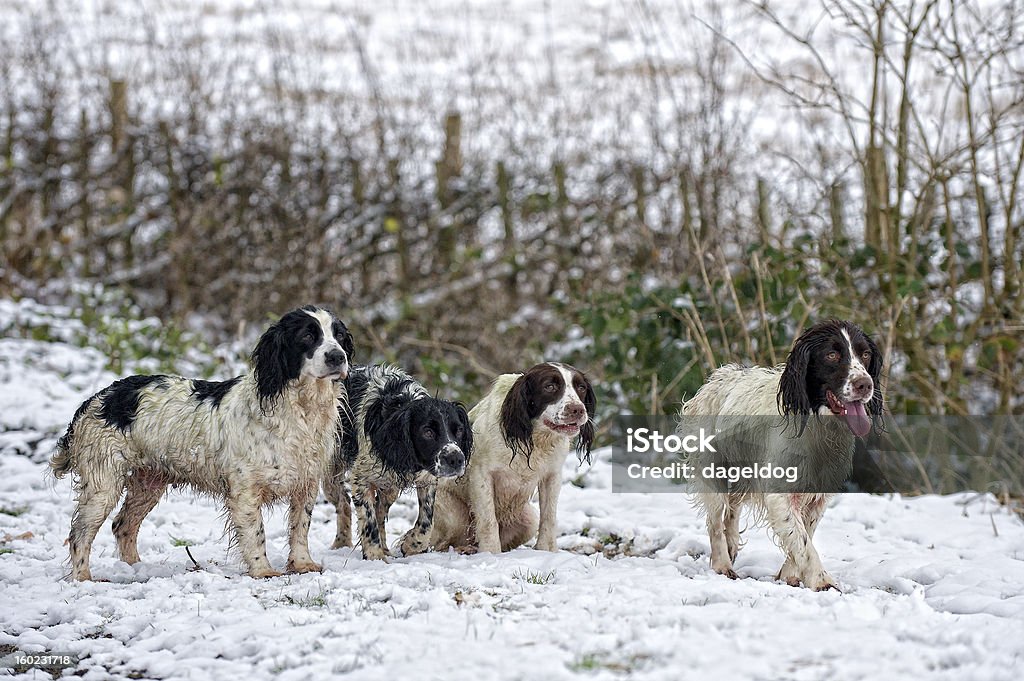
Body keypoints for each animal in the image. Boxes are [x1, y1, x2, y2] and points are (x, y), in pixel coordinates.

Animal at [52, 307, 356, 577]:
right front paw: (263, 571)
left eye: (339, 336)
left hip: (148, 483)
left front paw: (303, 564)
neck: (299, 410)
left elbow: (300, 528)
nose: (337, 357)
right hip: (103, 486)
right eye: (307, 336)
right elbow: (255, 532)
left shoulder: (306, 483)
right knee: (79, 533)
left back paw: (135, 568)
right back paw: (83, 578)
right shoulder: (244, 491)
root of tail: (97, 398)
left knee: (122, 525)